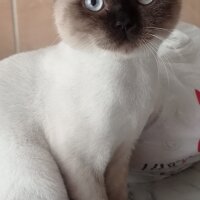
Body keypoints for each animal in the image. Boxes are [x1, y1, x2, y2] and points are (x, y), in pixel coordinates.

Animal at [0, 0, 180, 200]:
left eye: (146, 1)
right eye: (94, 4)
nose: (124, 23)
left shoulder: (123, 150)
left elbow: (118, 192)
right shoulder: (84, 163)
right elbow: (96, 195)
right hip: (41, 179)